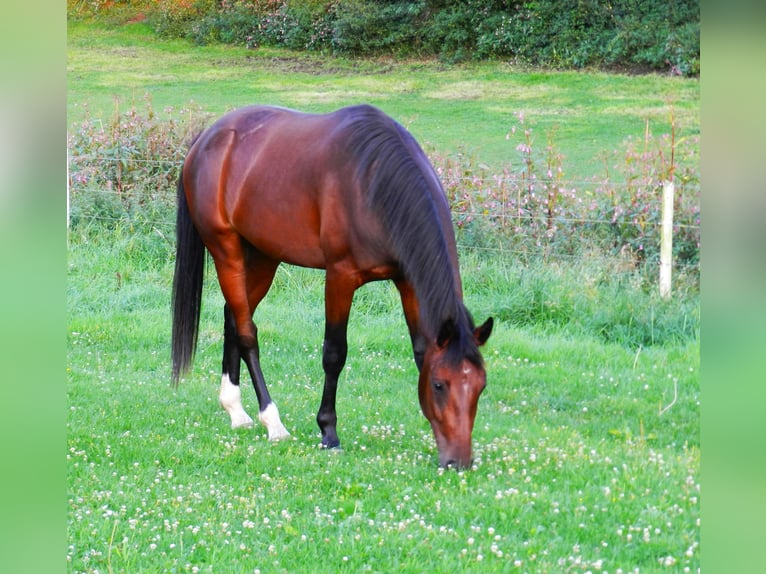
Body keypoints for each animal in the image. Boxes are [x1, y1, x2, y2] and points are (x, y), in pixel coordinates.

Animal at [172, 104, 496, 472]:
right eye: (440, 385)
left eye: (481, 386)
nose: (459, 461)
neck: (374, 182)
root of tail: (208, 137)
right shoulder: (340, 276)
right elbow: (334, 353)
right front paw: (328, 432)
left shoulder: (407, 281)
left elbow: (419, 350)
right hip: (226, 250)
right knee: (246, 332)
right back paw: (273, 422)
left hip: (264, 256)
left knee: (233, 316)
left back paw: (236, 410)